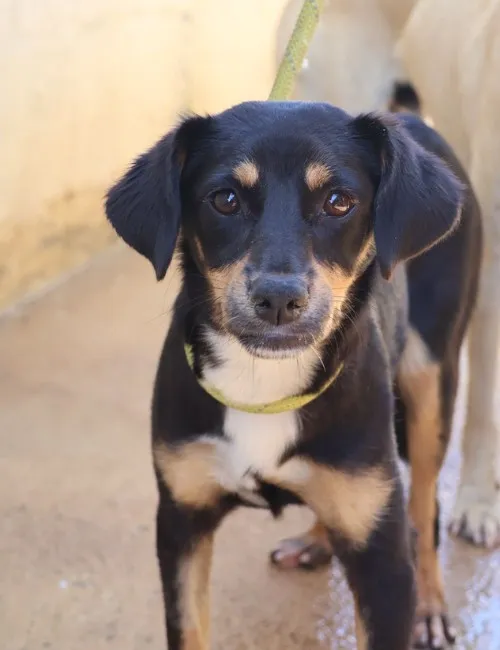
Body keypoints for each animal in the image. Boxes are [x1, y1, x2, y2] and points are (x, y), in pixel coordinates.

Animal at [104, 97, 480, 648]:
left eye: (340, 201)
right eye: (225, 199)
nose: (278, 299)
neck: (262, 382)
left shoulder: (384, 565)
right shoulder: (180, 523)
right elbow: (190, 627)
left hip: (431, 377)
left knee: (425, 502)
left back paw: (431, 605)